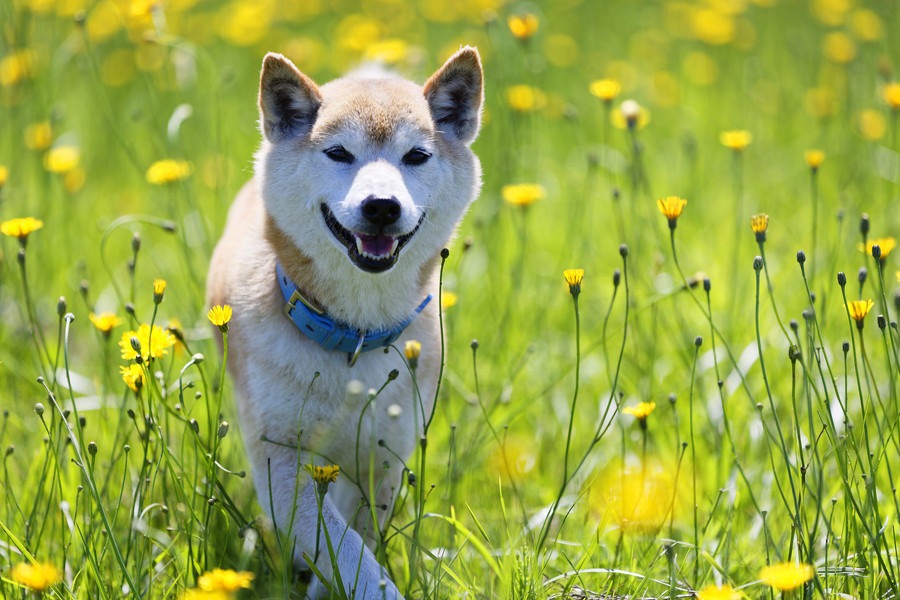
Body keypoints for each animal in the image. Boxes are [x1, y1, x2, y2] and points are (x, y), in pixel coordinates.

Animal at [206, 45, 486, 596]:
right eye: (338, 153)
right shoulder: (281, 457)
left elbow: (355, 543)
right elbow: (349, 553)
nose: (381, 206)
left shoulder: (382, 458)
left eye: (415, 156)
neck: (352, 336)